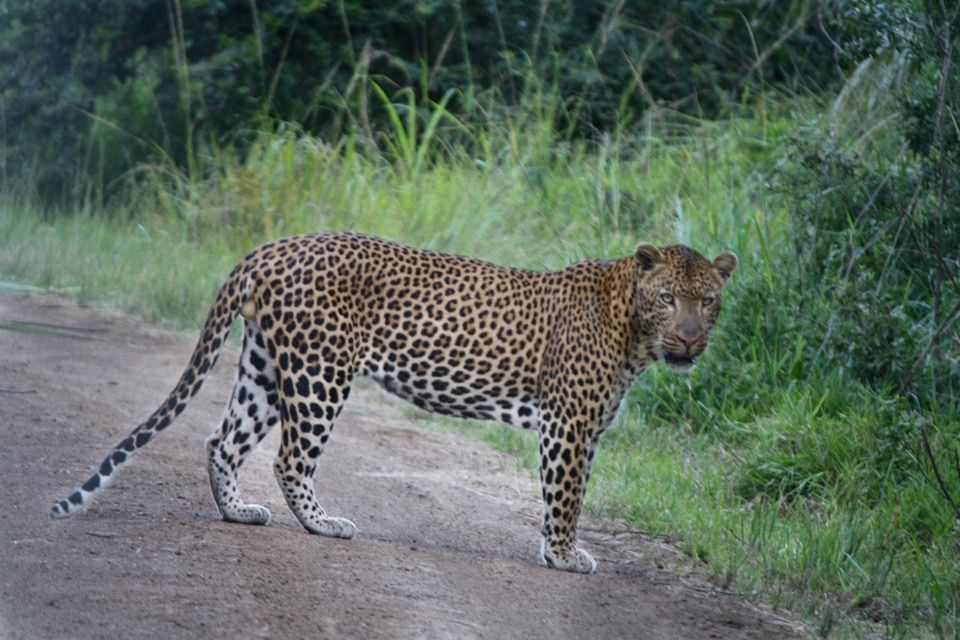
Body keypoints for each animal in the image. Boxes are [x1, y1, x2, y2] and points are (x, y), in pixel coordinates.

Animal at [50, 231, 737, 573]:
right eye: (668, 297)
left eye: (708, 302)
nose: (689, 340)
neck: (633, 329)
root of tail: (271, 247)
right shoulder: (569, 424)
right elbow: (565, 496)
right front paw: (566, 556)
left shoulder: (584, 430)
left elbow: (563, 495)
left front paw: (554, 551)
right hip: (320, 372)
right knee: (291, 457)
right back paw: (324, 523)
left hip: (265, 368)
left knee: (223, 441)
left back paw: (239, 513)